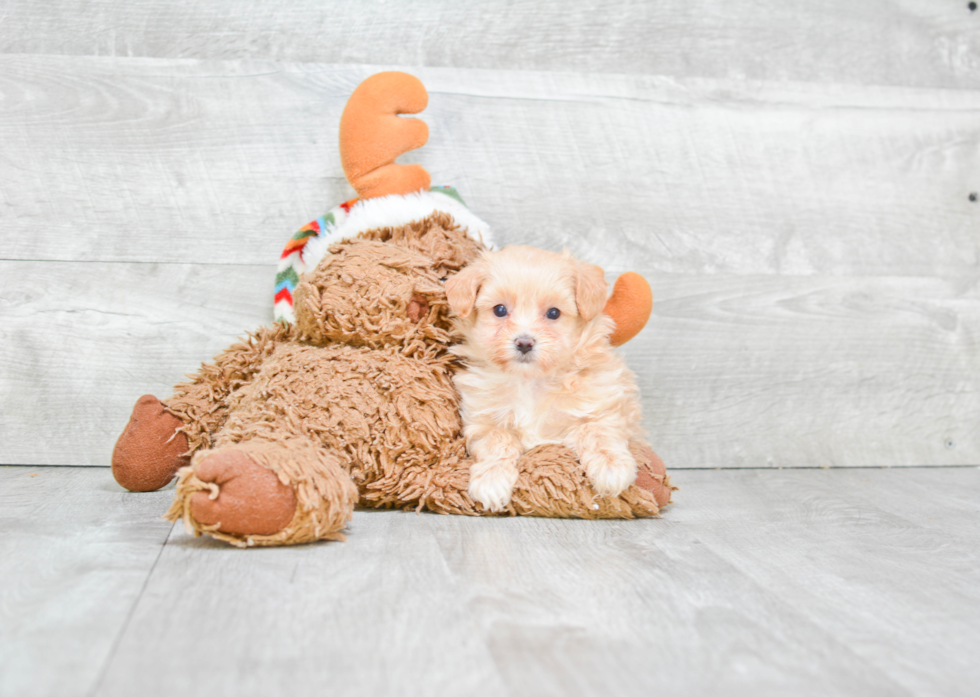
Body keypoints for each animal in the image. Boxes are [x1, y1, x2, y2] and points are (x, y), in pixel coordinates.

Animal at [444, 245, 644, 512]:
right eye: (499, 310)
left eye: (553, 313)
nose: (524, 343)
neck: (531, 380)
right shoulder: (482, 421)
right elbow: (497, 441)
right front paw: (491, 480)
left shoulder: (601, 405)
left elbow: (597, 432)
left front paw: (611, 468)